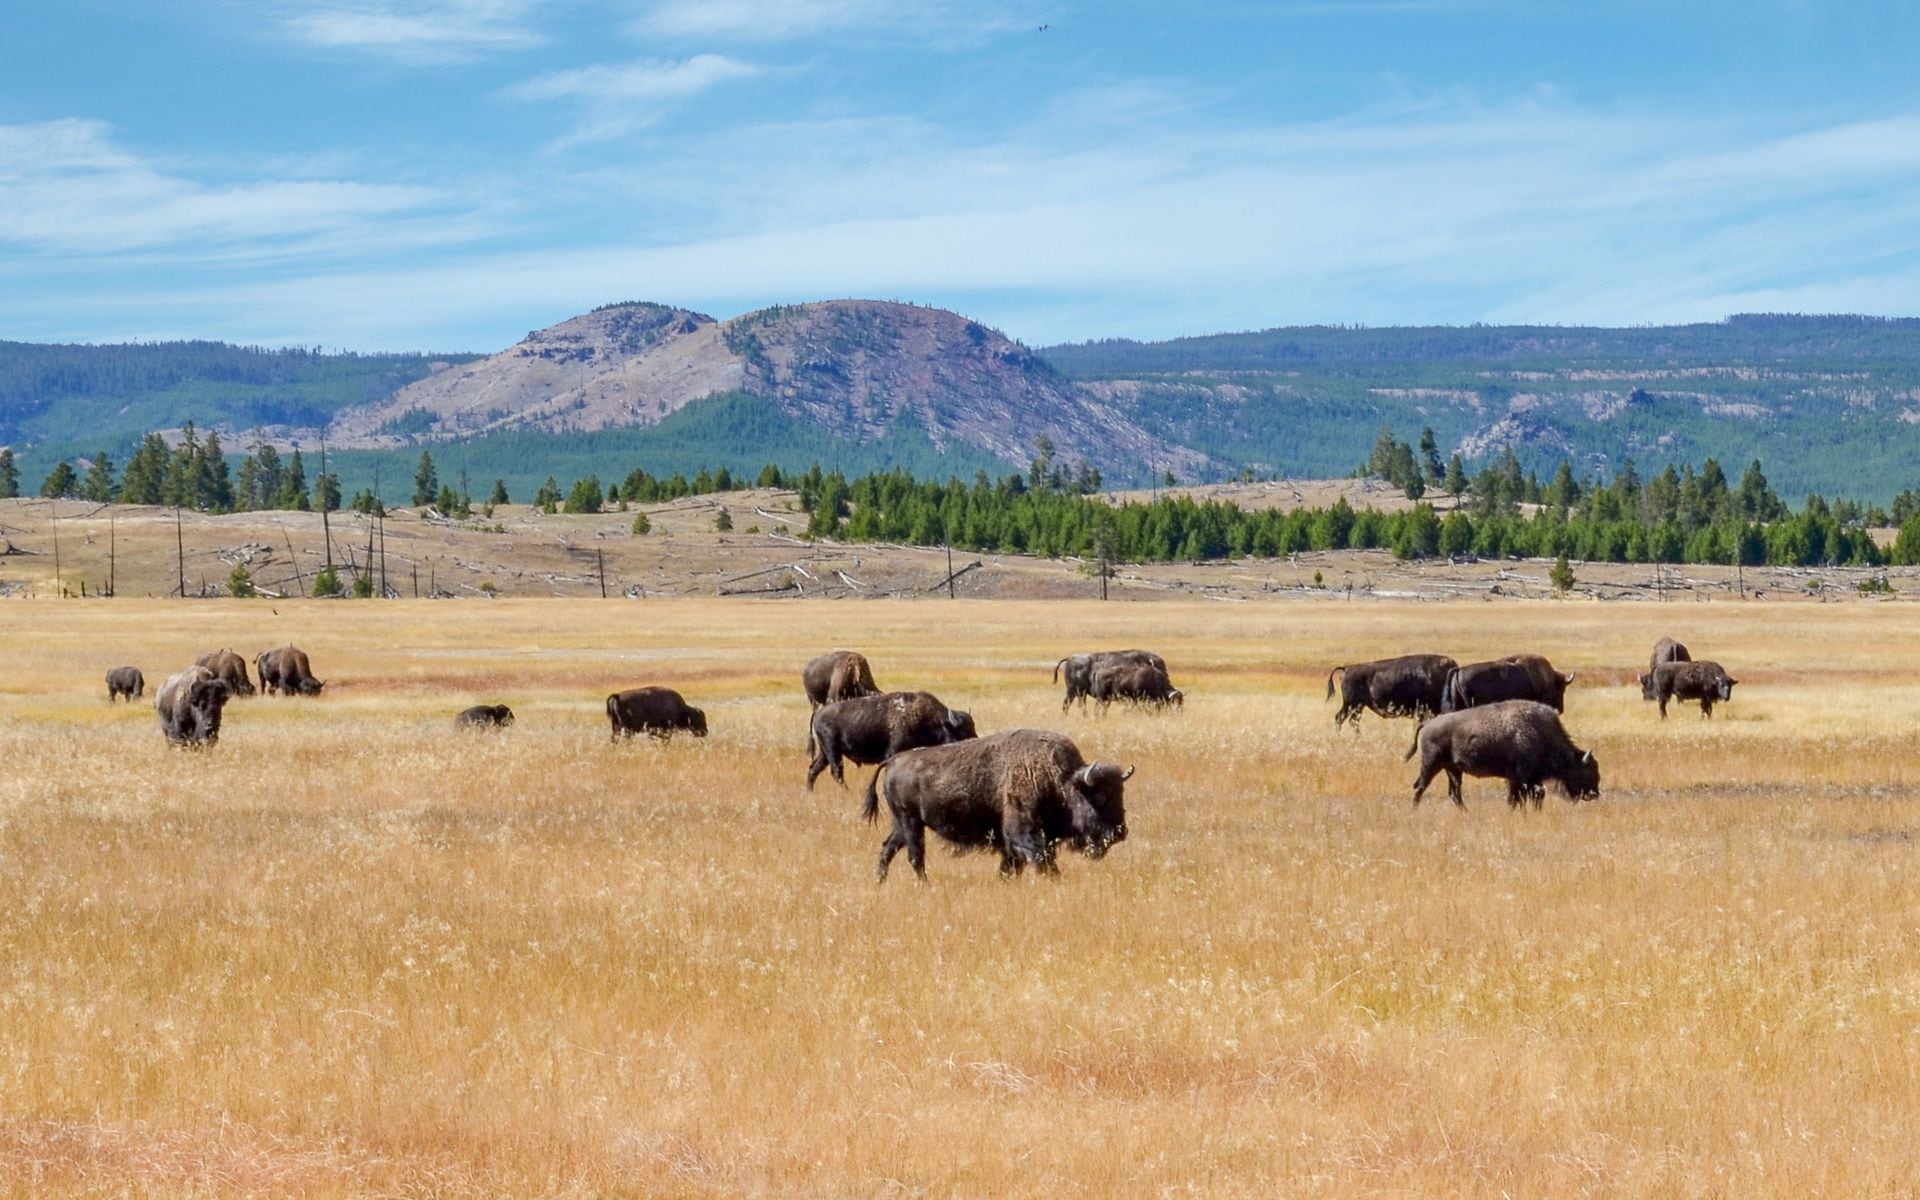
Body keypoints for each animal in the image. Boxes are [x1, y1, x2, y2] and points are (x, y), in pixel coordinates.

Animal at [807, 691, 977, 790]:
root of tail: (818, 713)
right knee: (836, 772)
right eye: (962, 732)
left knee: (814, 769)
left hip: (825, 753)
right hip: (833, 751)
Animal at [867, 729, 1132, 881]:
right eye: (1099, 798)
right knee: (915, 856)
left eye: (1120, 794)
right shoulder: (1023, 833)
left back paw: (880, 881)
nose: (1119, 833)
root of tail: (894, 760)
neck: (1061, 780)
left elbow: (1013, 865)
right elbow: (1040, 859)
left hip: (903, 824)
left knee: (888, 848)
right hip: (911, 822)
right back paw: (924, 885)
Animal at [1407, 699, 1600, 809]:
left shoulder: (1532, 779)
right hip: (1431, 764)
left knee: (1454, 793)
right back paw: (1414, 810)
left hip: (1453, 769)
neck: (1541, 733)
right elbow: (1514, 799)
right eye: (1586, 772)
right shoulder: (1516, 778)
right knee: (1420, 787)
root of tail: (1428, 724)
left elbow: (1535, 796)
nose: (1594, 794)